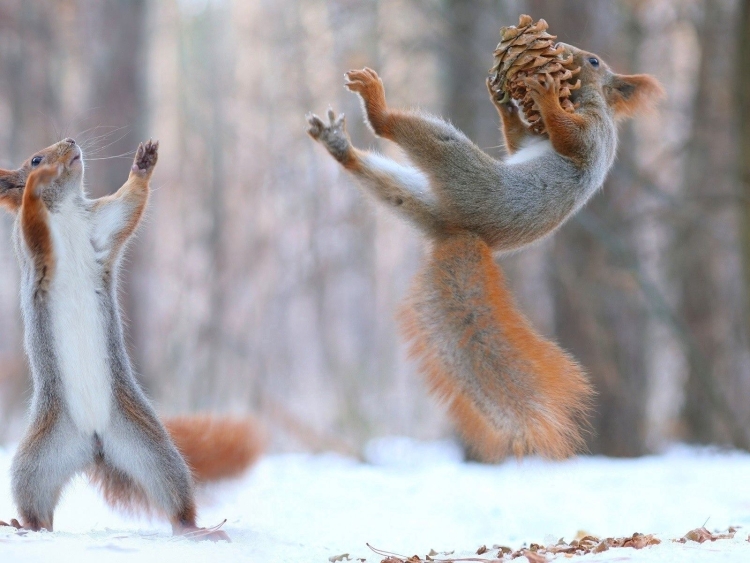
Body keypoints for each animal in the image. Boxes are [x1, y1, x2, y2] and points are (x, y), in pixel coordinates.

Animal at [308, 43, 668, 458]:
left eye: (594, 62)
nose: (564, 51)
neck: (584, 100)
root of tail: (461, 232)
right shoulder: (532, 140)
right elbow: (518, 141)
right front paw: (505, 103)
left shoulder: (593, 134)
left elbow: (569, 138)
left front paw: (545, 96)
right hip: (415, 197)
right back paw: (339, 147)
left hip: (462, 169)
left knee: (403, 132)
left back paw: (375, 105)